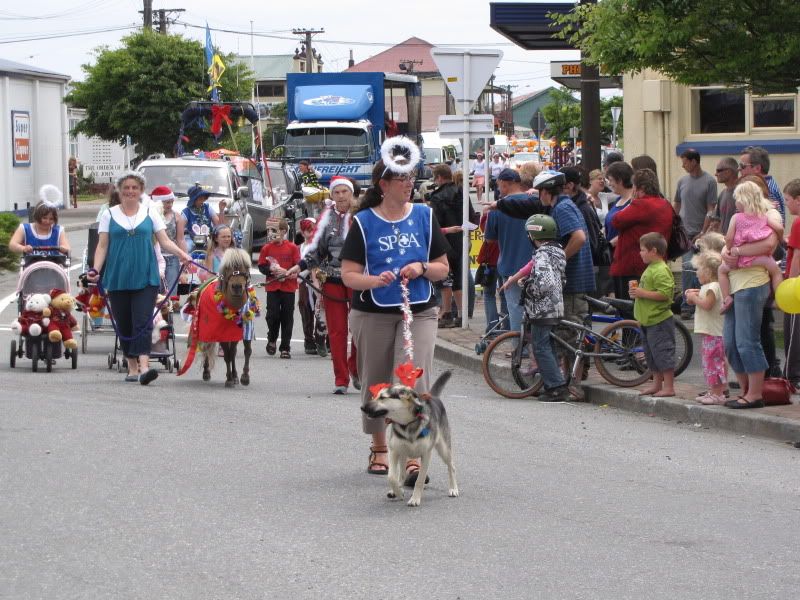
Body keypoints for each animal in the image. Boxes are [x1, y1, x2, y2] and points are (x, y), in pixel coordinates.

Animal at [178, 248, 259, 387]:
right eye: (227, 267)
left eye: (247, 266)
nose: (237, 287)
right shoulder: (220, 332)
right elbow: (227, 354)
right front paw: (229, 379)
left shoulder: (245, 329)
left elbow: (246, 351)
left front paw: (243, 377)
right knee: (206, 346)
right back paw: (206, 372)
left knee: (232, 351)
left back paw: (235, 375)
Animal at [361, 371, 458, 507]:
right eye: (375, 396)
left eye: (382, 397)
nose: (362, 407)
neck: (407, 423)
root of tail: (432, 397)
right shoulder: (394, 451)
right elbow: (392, 476)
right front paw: (398, 492)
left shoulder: (426, 454)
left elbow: (420, 480)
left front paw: (415, 498)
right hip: (403, 453)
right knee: (401, 474)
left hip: (444, 448)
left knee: (451, 466)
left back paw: (453, 488)